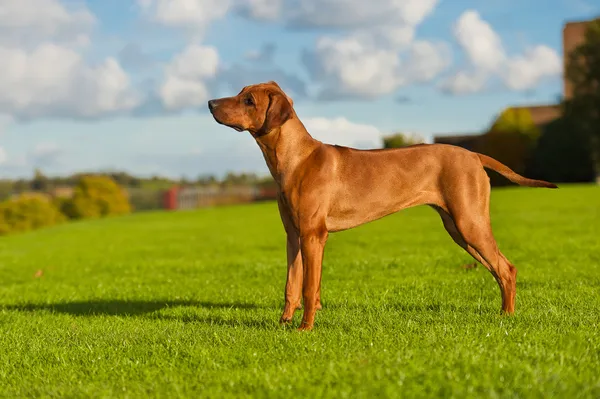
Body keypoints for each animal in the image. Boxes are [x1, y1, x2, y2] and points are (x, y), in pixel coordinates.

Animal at [209, 81, 560, 332]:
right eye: (240, 92)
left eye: (249, 100)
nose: (210, 103)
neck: (296, 159)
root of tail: (473, 154)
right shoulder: (294, 236)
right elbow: (292, 285)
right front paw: (284, 322)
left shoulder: (313, 234)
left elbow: (308, 288)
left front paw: (305, 329)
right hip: (459, 228)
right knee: (498, 269)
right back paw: (502, 313)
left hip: (469, 222)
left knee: (507, 268)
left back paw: (507, 317)